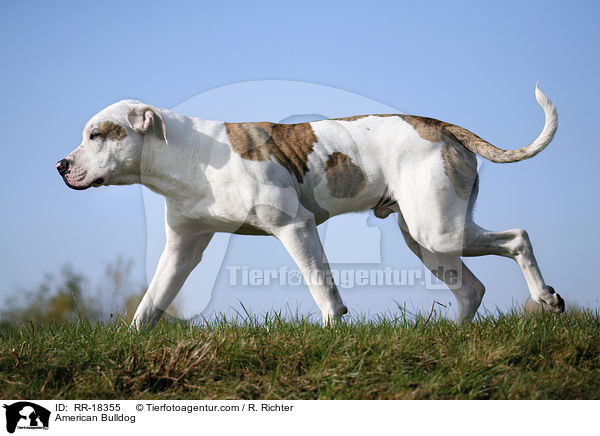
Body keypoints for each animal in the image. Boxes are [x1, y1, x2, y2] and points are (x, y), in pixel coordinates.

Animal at [56, 84, 564, 328]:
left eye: (98, 134)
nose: (61, 165)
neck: (190, 156)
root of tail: (439, 125)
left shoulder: (295, 227)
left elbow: (322, 289)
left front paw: (332, 328)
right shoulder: (182, 249)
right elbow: (150, 305)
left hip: (439, 231)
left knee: (518, 238)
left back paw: (545, 297)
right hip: (429, 242)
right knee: (471, 289)